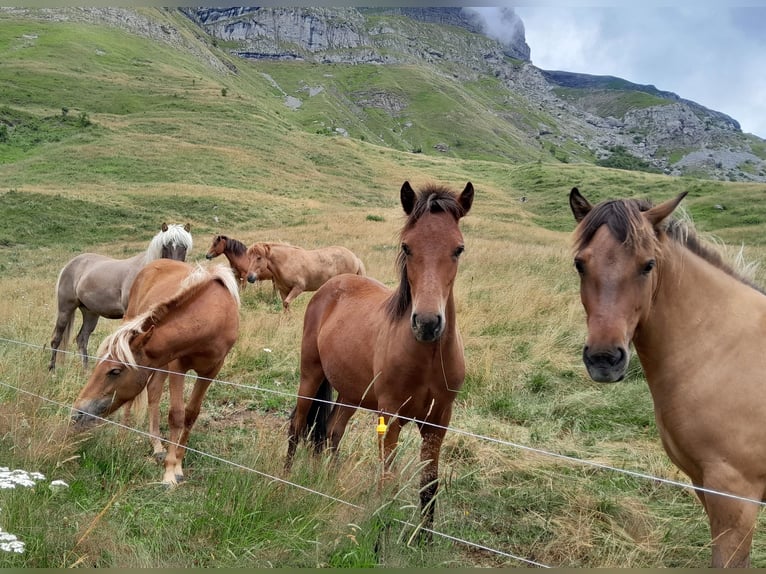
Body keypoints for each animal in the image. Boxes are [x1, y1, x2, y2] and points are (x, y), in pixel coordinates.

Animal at [48, 223, 193, 371]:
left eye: (184, 247)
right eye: (165, 246)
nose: (175, 269)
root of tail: (70, 264)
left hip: (90, 313)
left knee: (82, 339)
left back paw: (86, 371)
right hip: (65, 309)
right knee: (56, 339)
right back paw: (52, 369)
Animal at [71, 258, 240, 485]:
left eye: (114, 371)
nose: (77, 413)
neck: (214, 315)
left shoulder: (210, 371)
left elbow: (190, 415)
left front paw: (178, 463)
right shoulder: (177, 366)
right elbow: (176, 415)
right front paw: (170, 472)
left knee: (153, 392)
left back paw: (158, 446)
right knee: (137, 400)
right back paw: (125, 435)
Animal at [285, 181, 473, 531]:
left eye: (458, 249)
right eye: (407, 247)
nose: (427, 323)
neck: (427, 357)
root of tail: (331, 285)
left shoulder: (438, 421)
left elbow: (429, 486)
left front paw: (423, 540)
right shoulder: (391, 416)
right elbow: (388, 482)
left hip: (351, 393)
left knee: (333, 431)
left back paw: (331, 482)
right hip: (310, 375)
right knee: (297, 426)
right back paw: (284, 481)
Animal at [569, 186, 766, 567]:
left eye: (648, 264)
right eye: (580, 263)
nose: (604, 359)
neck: (722, 348)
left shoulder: (735, 497)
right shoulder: (705, 486)